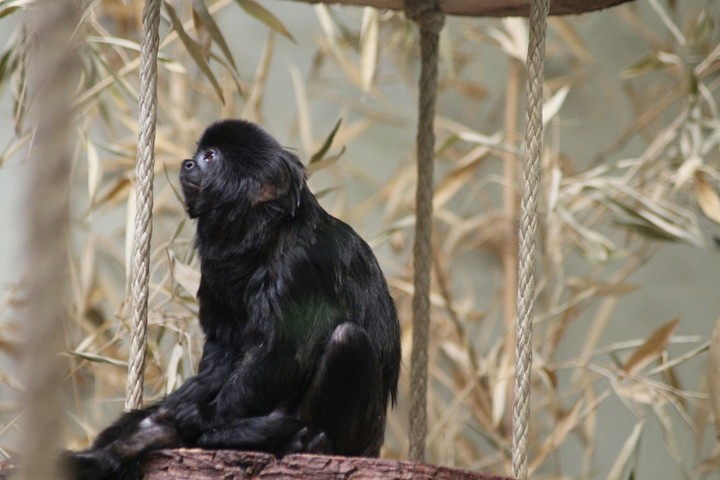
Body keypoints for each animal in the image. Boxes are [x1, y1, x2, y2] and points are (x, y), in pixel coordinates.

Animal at [64, 119, 401, 480]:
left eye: (210, 157)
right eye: (199, 153)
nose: (188, 163)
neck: (260, 238)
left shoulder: (297, 263)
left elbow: (281, 353)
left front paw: (202, 418)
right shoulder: (213, 268)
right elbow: (223, 349)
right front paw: (168, 415)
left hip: (360, 438)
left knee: (347, 339)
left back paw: (305, 441)